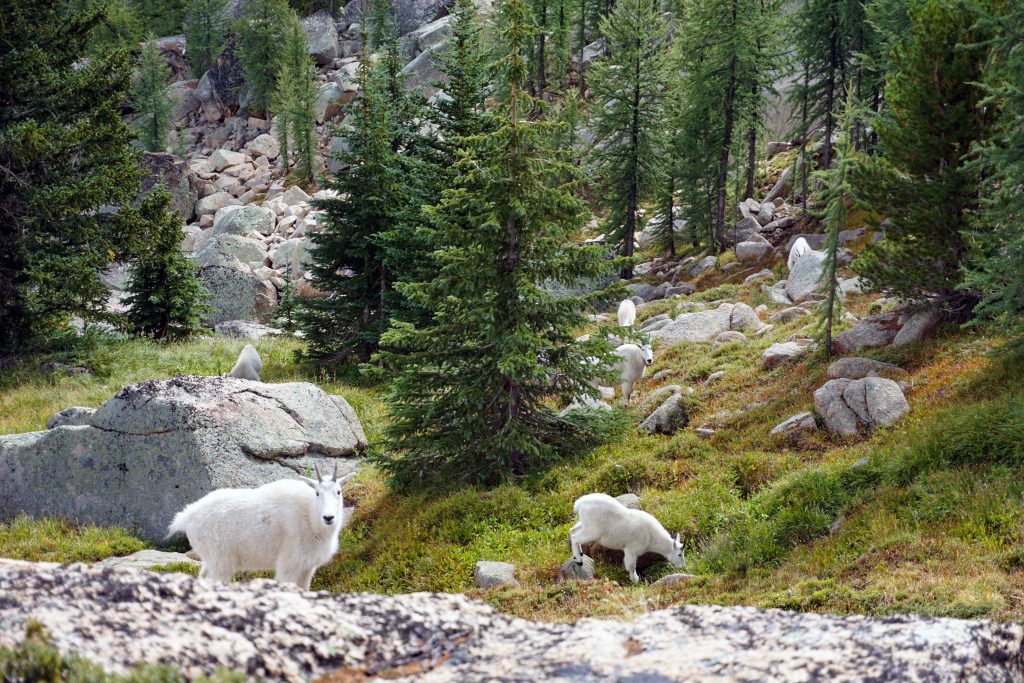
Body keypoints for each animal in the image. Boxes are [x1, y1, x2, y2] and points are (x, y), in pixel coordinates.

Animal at [166, 464, 356, 593]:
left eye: (338, 492)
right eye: (317, 493)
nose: (328, 517)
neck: (310, 516)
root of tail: (187, 516)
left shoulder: (307, 567)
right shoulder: (289, 563)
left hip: (210, 559)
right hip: (221, 561)